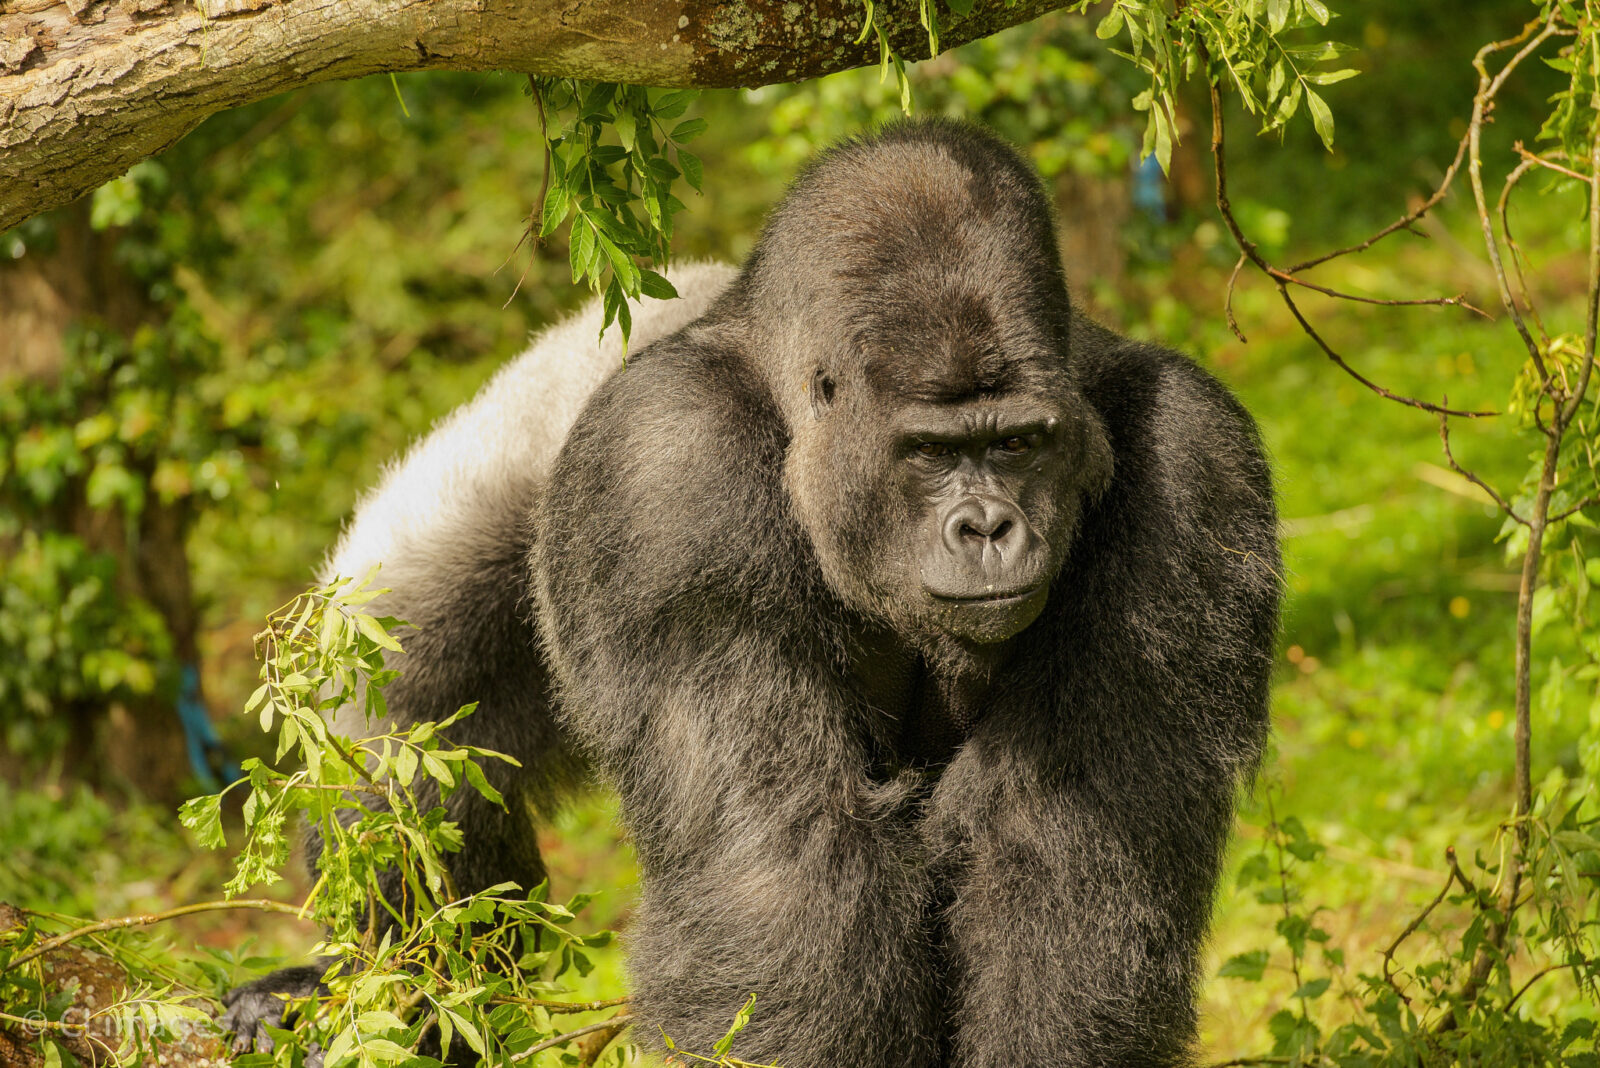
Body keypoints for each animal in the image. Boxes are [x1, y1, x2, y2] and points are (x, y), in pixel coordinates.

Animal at [224, 119, 1280, 1068]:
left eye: (1021, 442)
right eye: (930, 452)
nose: (988, 528)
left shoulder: (1197, 460)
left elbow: (1066, 843)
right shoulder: (665, 465)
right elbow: (780, 863)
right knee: (393, 722)